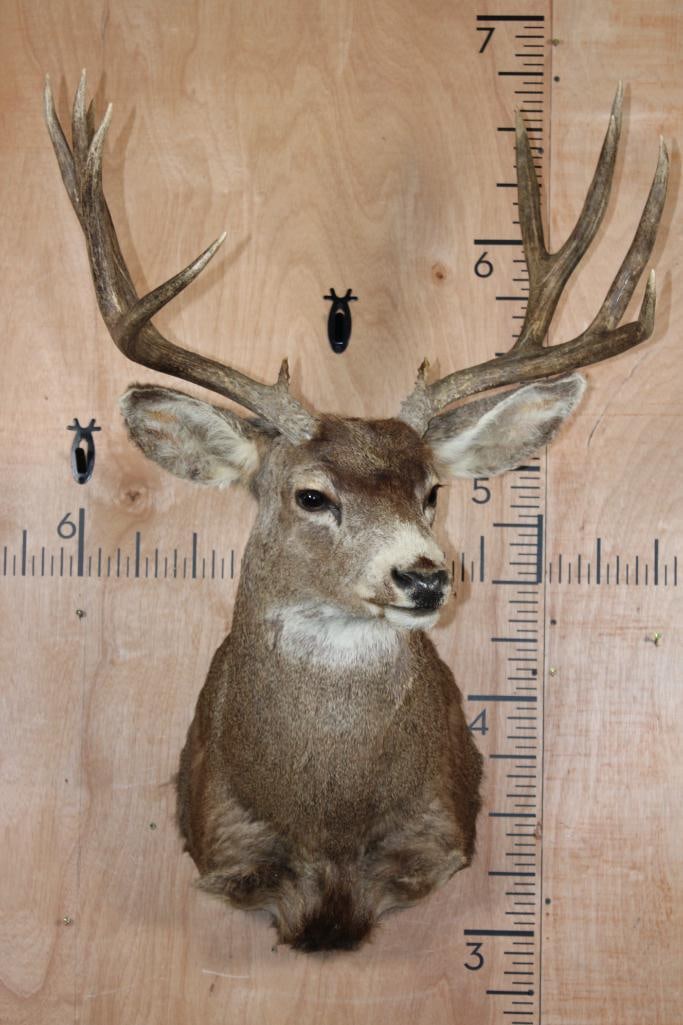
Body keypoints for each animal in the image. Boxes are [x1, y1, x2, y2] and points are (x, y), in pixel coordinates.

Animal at [45, 74, 668, 952]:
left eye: (431, 491)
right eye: (311, 495)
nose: (425, 575)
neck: (328, 819)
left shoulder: (435, 828)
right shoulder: (226, 836)